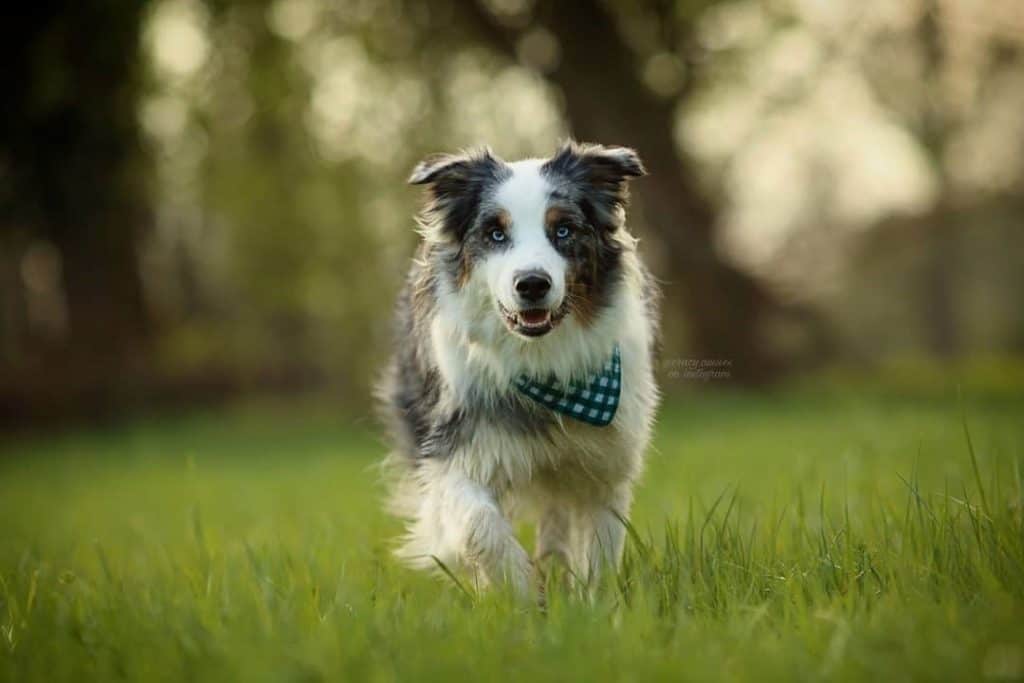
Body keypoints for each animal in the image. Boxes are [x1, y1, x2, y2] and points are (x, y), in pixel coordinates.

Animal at [380, 140, 659, 598]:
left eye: (563, 230)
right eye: (496, 233)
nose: (531, 284)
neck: (541, 361)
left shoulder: (605, 463)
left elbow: (599, 547)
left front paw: (592, 606)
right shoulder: (454, 449)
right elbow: (478, 524)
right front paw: (522, 591)